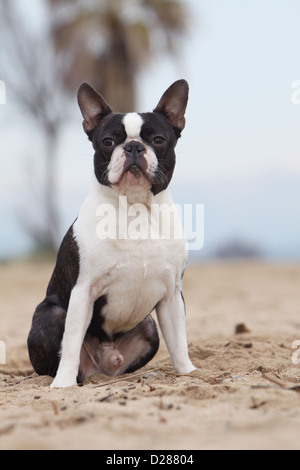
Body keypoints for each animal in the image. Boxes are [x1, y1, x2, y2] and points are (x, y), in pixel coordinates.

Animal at [27, 81, 195, 390]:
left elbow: (179, 340)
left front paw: (188, 372)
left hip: (149, 325)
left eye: (157, 139)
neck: (136, 209)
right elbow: (70, 342)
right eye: (107, 142)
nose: (133, 146)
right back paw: (68, 378)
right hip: (51, 313)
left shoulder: (171, 295)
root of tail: (101, 368)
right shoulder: (83, 291)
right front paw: (63, 385)